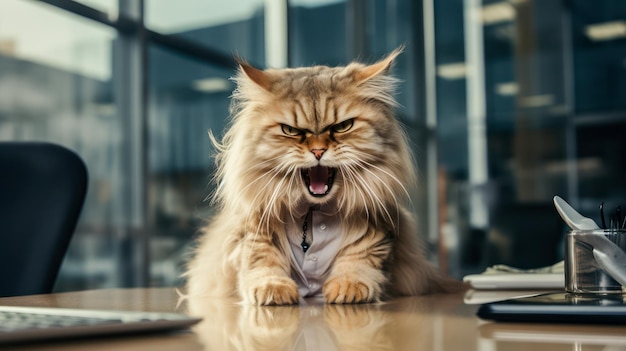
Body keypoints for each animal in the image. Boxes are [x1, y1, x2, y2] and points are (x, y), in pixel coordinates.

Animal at [183, 48, 460, 306]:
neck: (314, 210)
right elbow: (262, 262)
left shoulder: (376, 226)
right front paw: (273, 290)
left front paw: (349, 287)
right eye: (290, 130)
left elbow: (359, 259)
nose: (318, 151)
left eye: (342, 127)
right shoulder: (255, 229)